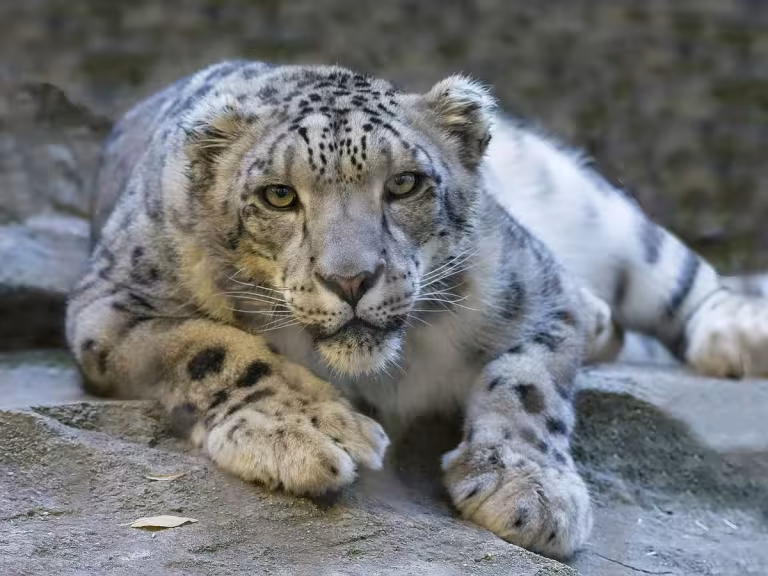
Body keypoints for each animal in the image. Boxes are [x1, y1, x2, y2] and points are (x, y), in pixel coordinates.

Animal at [65, 60, 768, 559]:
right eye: (279, 195)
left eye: (404, 183)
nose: (351, 279)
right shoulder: (112, 305)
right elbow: (212, 347)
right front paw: (310, 432)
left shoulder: (541, 289)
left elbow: (529, 383)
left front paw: (528, 490)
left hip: (589, 204)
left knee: (673, 269)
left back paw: (738, 334)